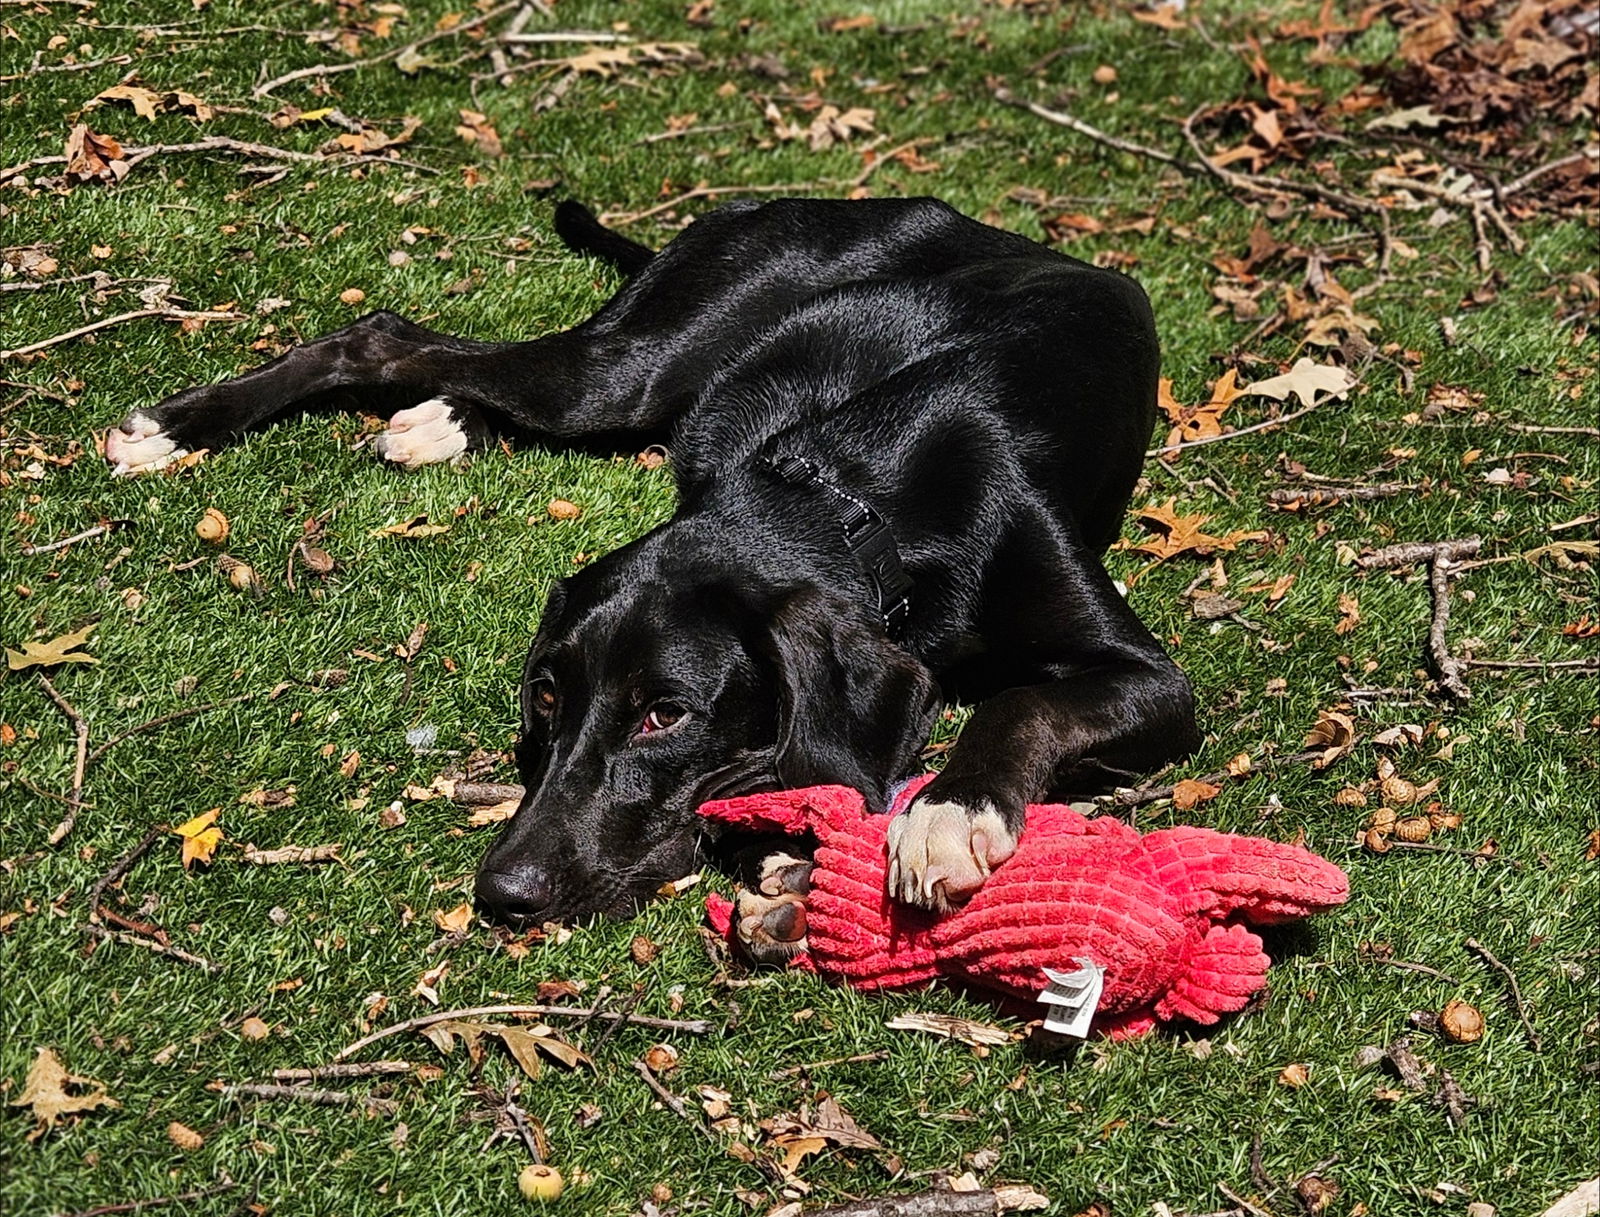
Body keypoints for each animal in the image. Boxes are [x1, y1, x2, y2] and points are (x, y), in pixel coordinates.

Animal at [103, 196, 1203, 946]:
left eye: (664, 714)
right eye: (548, 695)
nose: (502, 891)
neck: (842, 492)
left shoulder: (1154, 679)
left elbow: (1019, 702)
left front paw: (946, 812)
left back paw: (440, 423)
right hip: (634, 363)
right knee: (384, 335)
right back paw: (175, 428)